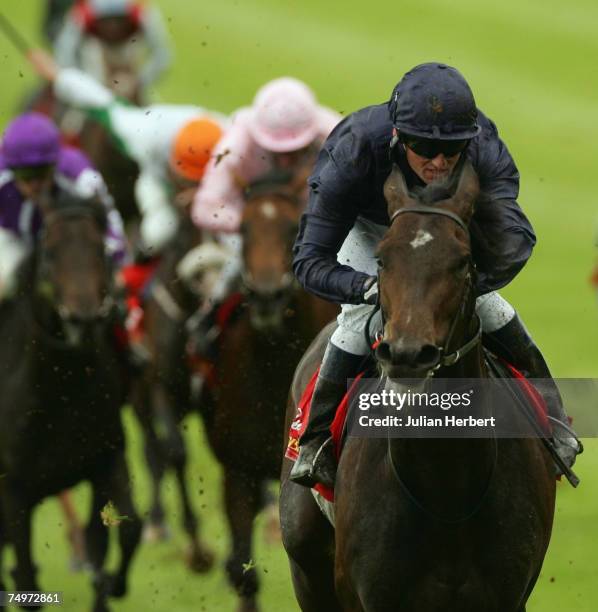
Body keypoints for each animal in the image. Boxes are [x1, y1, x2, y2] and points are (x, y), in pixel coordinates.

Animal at [0, 195, 142, 612]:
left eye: (100, 250)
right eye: (50, 252)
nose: (84, 319)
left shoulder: (107, 455)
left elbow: (124, 532)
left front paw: (114, 584)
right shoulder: (13, 489)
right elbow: (26, 575)